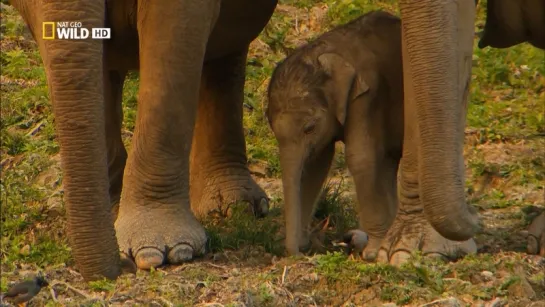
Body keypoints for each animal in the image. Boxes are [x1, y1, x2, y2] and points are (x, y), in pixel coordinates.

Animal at [266, 10, 402, 256]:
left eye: (309, 127)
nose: (294, 253)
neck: (324, 52)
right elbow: (316, 164)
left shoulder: (366, 95)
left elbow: (361, 157)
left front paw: (372, 252)